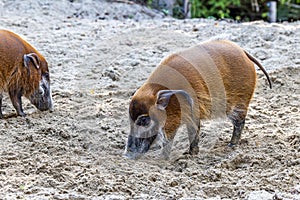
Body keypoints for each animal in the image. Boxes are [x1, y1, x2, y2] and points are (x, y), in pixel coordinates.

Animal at [124, 39, 272, 160]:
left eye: (144, 120)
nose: (127, 155)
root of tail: (243, 51)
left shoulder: (190, 115)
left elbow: (185, 134)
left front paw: (186, 156)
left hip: (238, 103)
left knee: (239, 122)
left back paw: (231, 145)